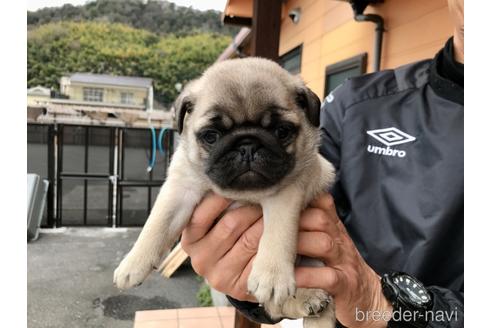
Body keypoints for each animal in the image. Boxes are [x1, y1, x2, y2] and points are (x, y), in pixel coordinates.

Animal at [114, 57, 338, 326]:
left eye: (282, 131)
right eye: (211, 136)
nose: (248, 145)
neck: (241, 193)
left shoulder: (287, 192)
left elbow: (277, 234)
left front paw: (272, 276)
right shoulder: (179, 189)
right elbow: (156, 225)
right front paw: (132, 265)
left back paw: (310, 298)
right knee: (276, 307)